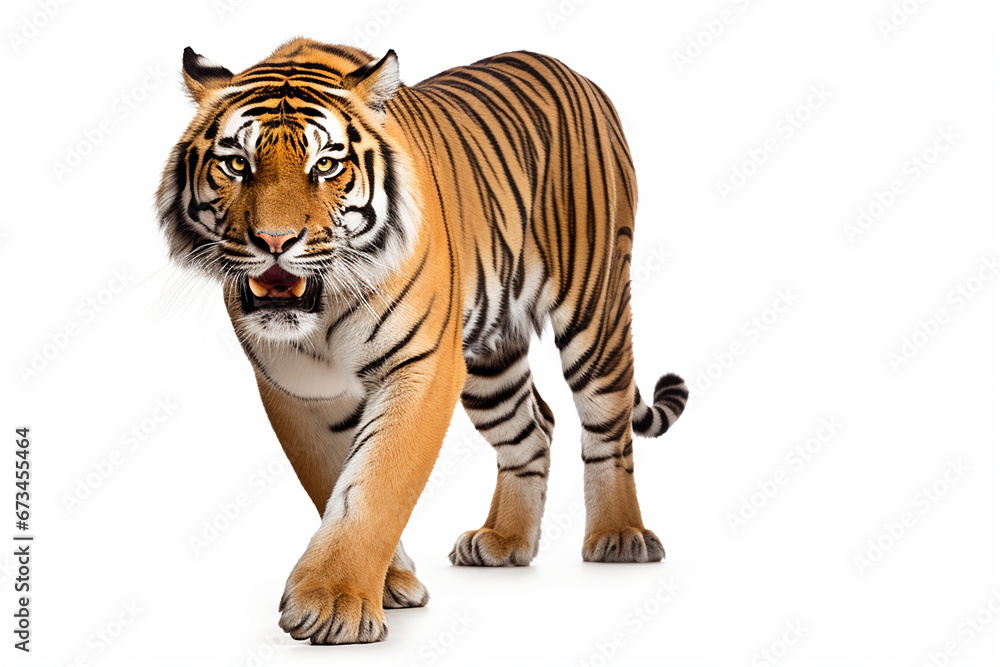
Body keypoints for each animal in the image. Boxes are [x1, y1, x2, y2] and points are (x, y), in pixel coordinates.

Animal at [156, 38, 688, 645]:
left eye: (325, 164)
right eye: (237, 163)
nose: (274, 241)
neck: (324, 306)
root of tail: (572, 71)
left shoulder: (423, 366)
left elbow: (376, 485)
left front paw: (335, 603)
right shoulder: (296, 386)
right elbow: (332, 480)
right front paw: (388, 584)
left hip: (594, 309)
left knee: (607, 425)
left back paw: (620, 537)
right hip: (489, 358)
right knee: (531, 427)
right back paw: (504, 542)